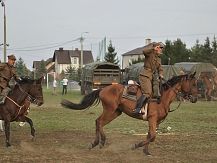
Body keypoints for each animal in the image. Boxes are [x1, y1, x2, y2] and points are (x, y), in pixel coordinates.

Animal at [61, 73, 198, 155]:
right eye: (193, 83)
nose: (195, 98)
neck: (162, 98)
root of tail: (103, 89)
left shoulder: (156, 121)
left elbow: (150, 135)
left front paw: (146, 152)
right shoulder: (152, 119)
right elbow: (153, 136)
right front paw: (136, 146)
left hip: (115, 112)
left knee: (98, 122)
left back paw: (97, 143)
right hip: (110, 110)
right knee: (99, 122)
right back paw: (99, 142)